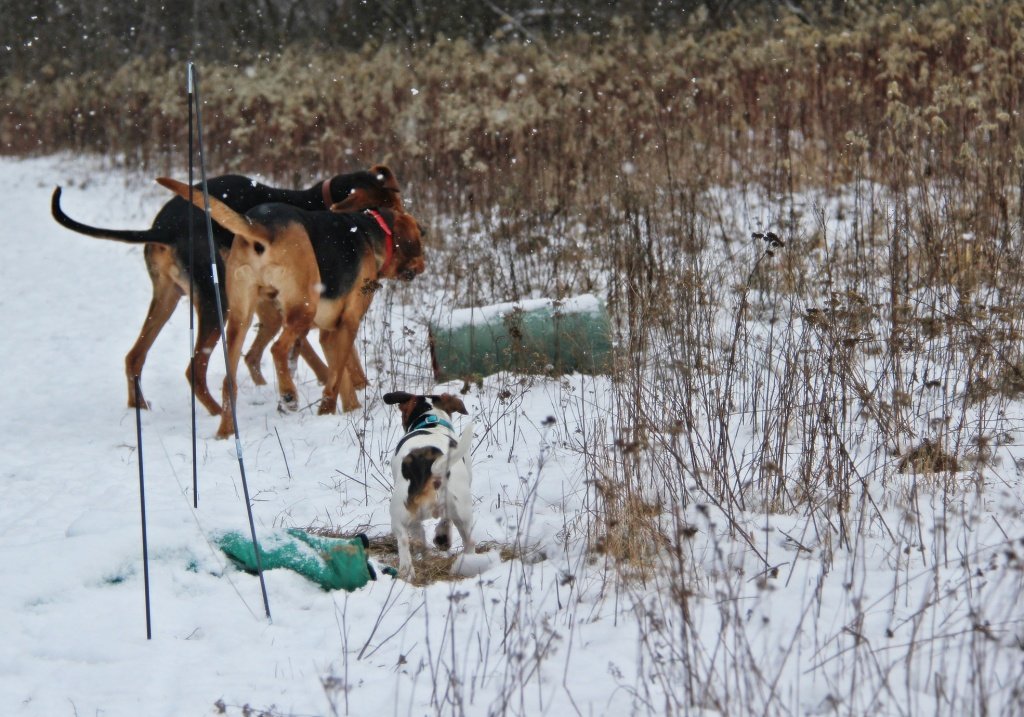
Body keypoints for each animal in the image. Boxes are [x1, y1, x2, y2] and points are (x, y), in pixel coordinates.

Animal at [158, 176, 428, 440]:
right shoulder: (348, 324)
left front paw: (350, 410)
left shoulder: (329, 333)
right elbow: (336, 379)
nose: (425, 265)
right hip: (302, 309)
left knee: (229, 381)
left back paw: (226, 432)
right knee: (277, 349)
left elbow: (341, 378)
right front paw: (328, 412)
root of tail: (260, 227)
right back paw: (289, 395)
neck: (371, 232)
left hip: (239, 317)